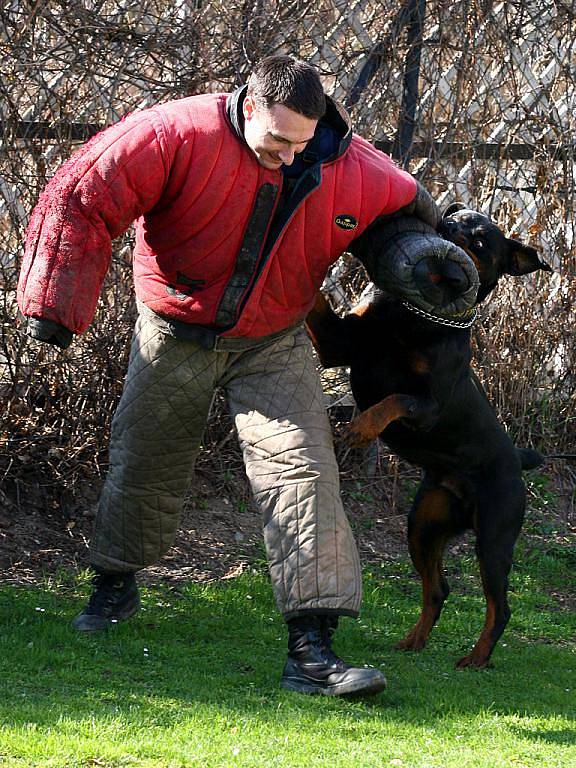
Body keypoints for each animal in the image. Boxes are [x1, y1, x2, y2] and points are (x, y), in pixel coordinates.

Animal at [308, 207, 552, 668]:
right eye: (458, 215)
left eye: (480, 243)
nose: (450, 227)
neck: (416, 315)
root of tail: (517, 458)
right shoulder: (338, 343)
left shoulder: (429, 407)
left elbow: (395, 400)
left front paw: (361, 428)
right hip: (422, 524)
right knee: (438, 589)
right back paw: (412, 642)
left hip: (494, 535)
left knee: (499, 606)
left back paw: (475, 659)